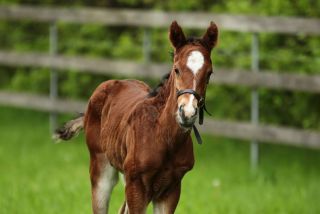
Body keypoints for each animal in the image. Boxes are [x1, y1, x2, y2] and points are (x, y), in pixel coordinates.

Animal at [55, 20, 218, 214]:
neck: (163, 135)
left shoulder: (172, 189)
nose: (187, 113)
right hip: (101, 169)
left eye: (209, 73)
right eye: (176, 69)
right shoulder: (136, 186)